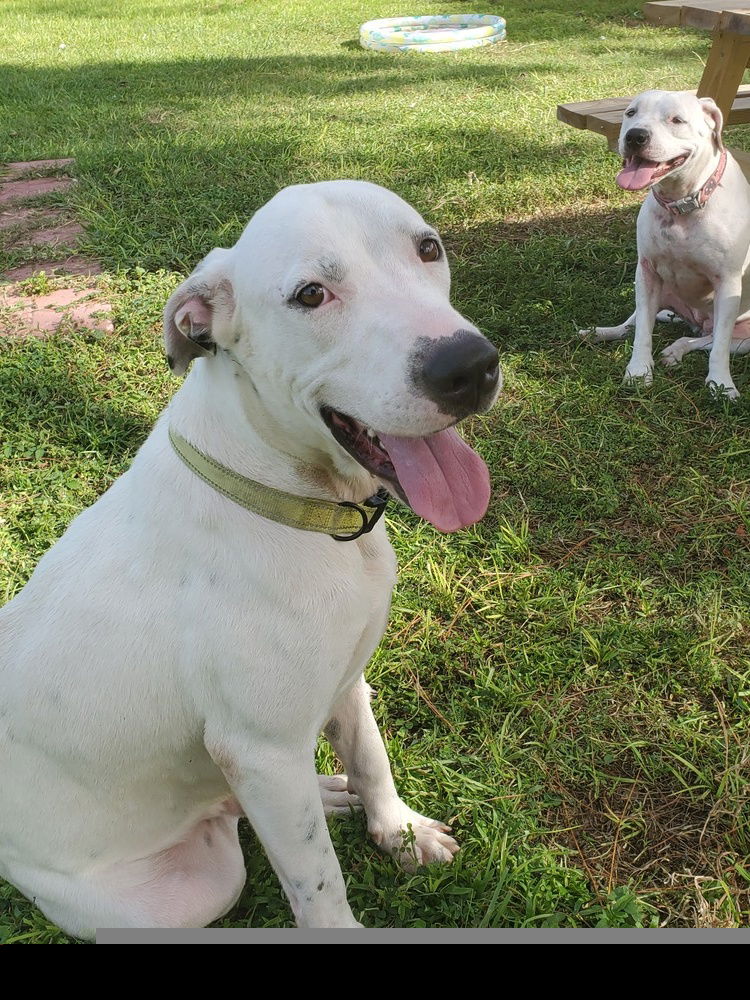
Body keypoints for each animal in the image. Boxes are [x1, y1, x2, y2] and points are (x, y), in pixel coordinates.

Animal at [1, 180, 506, 936]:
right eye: (310, 294)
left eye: (428, 247)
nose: (469, 367)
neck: (301, 504)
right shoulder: (260, 749)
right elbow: (318, 882)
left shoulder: (347, 680)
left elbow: (371, 758)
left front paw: (398, 830)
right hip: (193, 888)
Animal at [584, 90, 750, 400]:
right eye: (631, 113)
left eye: (676, 120)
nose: (635, 135)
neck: (683, 203)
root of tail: (696, 322)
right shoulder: (647, 273)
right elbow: (642, 333)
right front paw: (639, 371)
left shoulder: (728, 283)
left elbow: (720, 347)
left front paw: (721, 384)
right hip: (654, 292)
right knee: (632, 324)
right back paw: (602, 332)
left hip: (745, 337)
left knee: (706, 340)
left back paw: (676, 350)